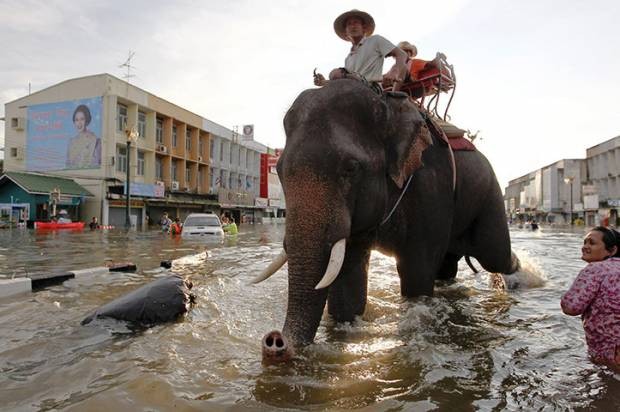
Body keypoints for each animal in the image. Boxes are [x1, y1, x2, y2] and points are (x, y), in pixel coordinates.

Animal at [254, 79, 520, 364]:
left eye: (350, 168)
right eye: (278, 170)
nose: (274, 340)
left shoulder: (431, 185)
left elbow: (416, 272)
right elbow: (348, 278)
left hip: (490, 191)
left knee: (494, 255)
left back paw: (519, 274)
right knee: (448, 266)